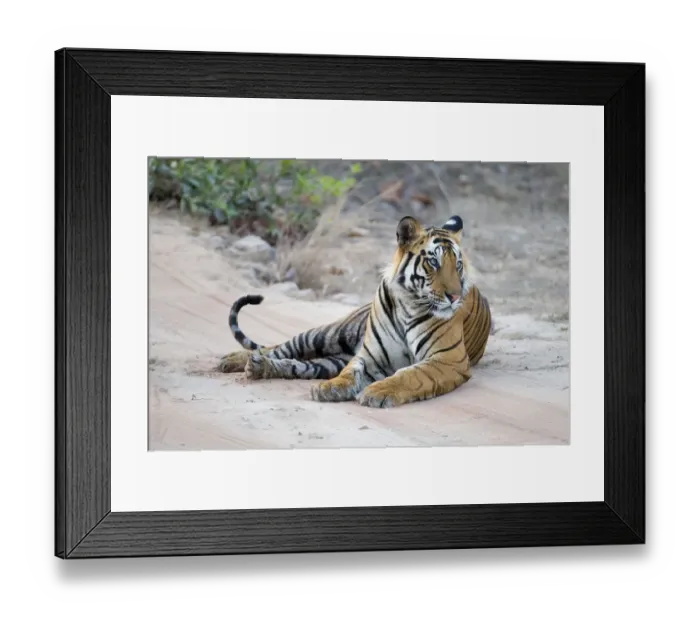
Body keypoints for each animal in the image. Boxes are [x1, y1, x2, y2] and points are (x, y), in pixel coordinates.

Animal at [217, 214, 492, 408]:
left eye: (458, 265)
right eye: (433, 262)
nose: (455, 297)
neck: (409, 303)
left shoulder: (447, 359)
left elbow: (409, 375)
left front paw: (377, 391)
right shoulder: (369, 355)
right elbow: (350, 372)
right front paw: (330, 388)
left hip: (331, 358)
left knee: (299, 365)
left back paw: (258, 367)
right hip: (328, 333)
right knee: (280, 347)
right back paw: (234, 361)